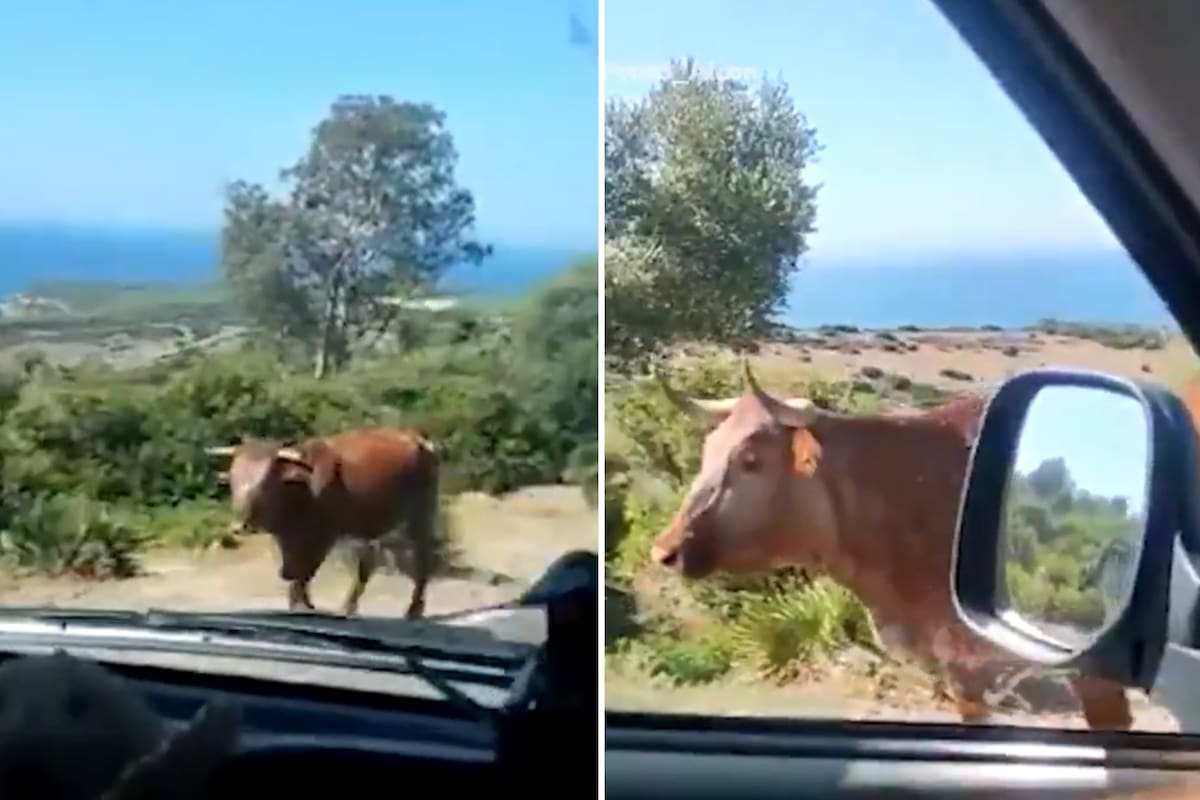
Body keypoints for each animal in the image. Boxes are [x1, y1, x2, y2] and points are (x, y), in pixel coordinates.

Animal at [205, 426, 439, 619]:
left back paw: (414, 609)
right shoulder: (288, 537)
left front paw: (300, 604)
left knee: (421, 558)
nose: (240, 526)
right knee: (368, 563)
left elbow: (304, 570)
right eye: (234, 479)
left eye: (265, 482)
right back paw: (350, 606)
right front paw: (301, 602)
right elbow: (293, 569)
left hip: (419, 515)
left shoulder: (323, 535)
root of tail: (417, 438)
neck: (300, 488)